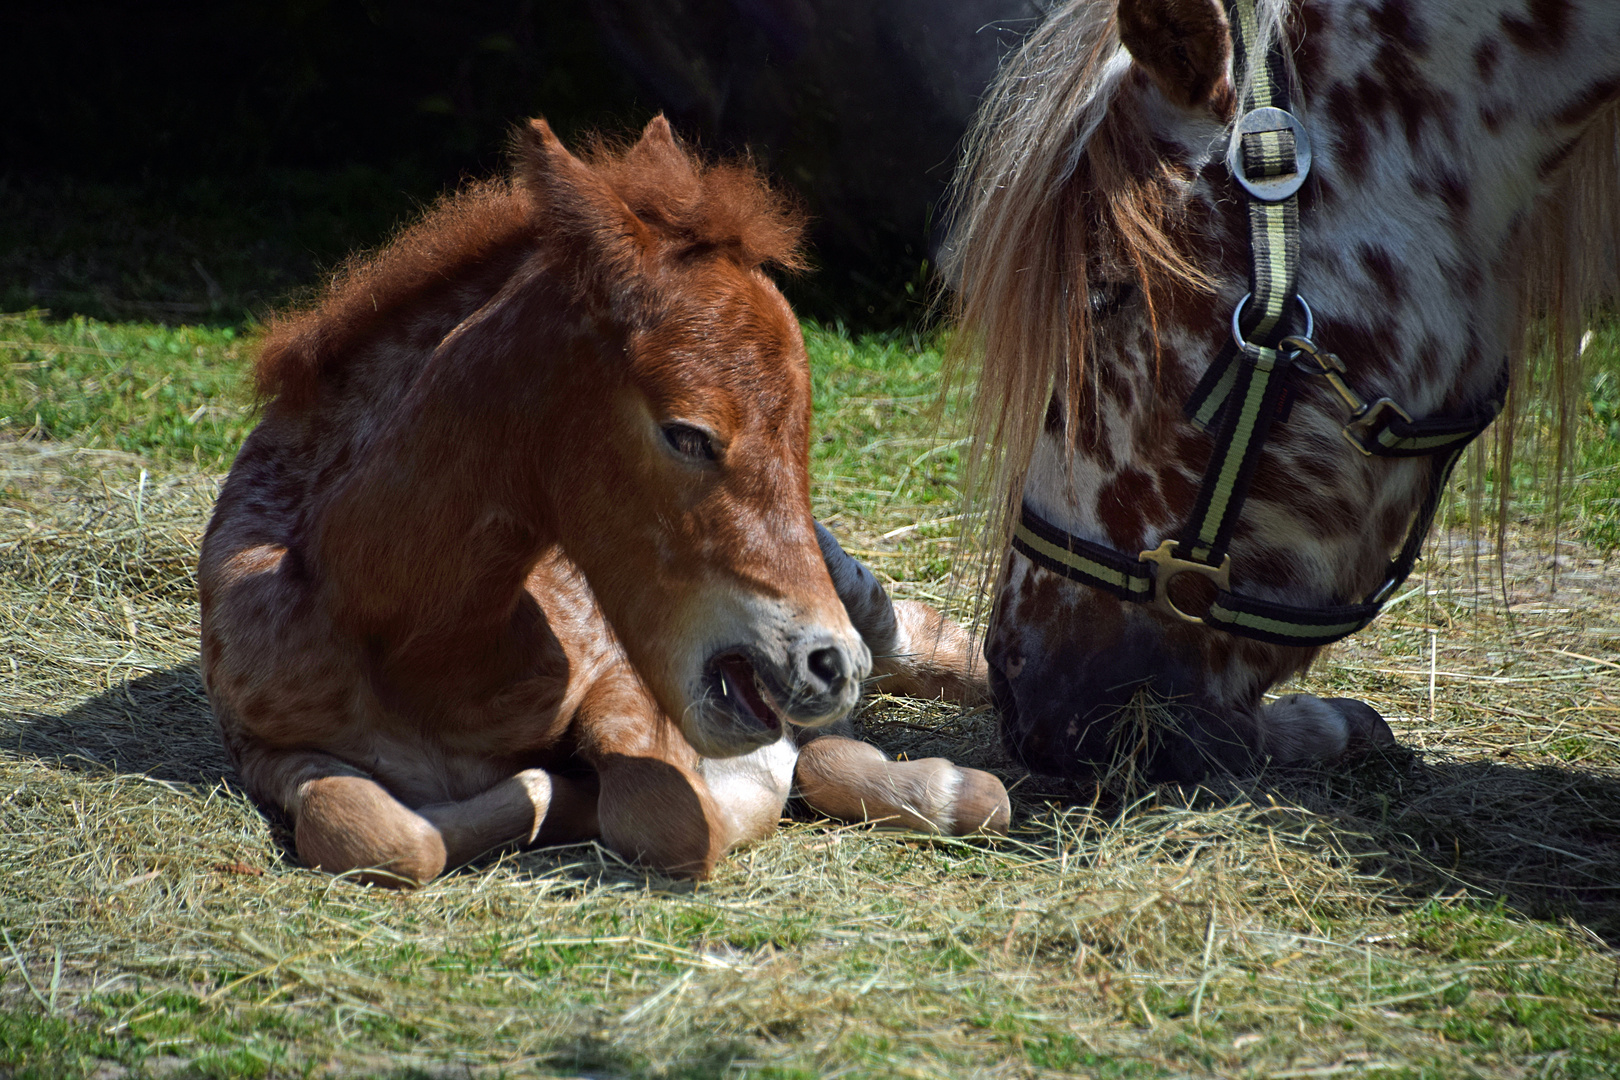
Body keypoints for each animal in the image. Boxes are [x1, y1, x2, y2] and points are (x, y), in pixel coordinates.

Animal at [199, 116, 1010, 887]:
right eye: (687, 435)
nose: (827, 665)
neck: (413, 640)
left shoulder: (620, 677)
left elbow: (663, 812)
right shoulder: (269, 744)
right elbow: (376, 834)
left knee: (919, 637)